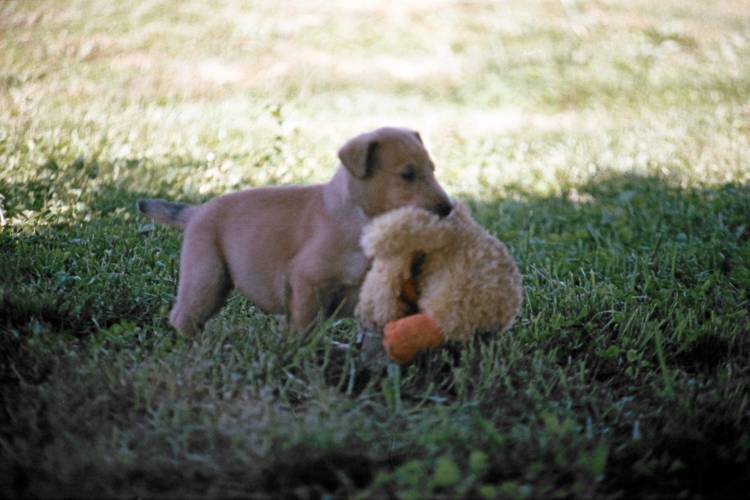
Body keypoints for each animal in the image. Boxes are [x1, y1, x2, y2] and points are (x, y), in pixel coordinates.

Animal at [138, 127, 452, 336]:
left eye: (433, 169)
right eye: (407, 175)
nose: (448, 208)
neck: (358, 217)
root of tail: (196, 212)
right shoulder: (307, 282)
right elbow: (304, 327)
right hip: (206, 277)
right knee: (183, 317)